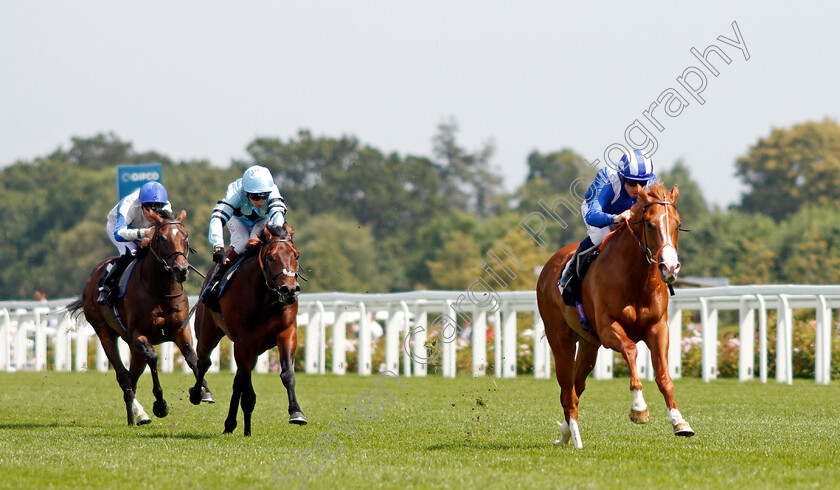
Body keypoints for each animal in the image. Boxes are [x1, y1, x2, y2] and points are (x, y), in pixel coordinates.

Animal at [68, 210, 213, 424]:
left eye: (186, 237)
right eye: (162, 238)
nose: (181, 270)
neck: (161, 290)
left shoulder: (179, 329)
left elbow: (192, 357)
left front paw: (203, 391)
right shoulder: (139, 333)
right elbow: (153, 357)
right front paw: (160, 404)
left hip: (132, 345)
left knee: (132, 375)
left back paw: (136, 415)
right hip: (105, 332)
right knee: (123, 376)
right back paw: (138, 413)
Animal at [189, 222, 306, 436]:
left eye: (296, 255)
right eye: (270, 257)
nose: (290, 290)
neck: (265, 297)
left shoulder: (286, 333)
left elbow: (287, 374)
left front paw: (296, 412)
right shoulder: (242, 344)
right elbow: (248, 392)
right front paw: (248, 431)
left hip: (255, 350)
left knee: (237, 383)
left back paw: (229, 424)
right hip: (208, 334)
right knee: (204, 362)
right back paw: (197, 394)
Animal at [540, 183, 696, 448]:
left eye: (677, 223)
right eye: (650, 224)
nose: (669, 267)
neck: (636, 277)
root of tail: (549, 265)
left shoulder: (658, 328)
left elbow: (664, 376)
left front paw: (679, 421)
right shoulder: (608, 329)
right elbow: (631, 349)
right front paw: (639, 408)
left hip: (589, 344)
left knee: (576, 386)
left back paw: (565, 433)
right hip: (560, 340)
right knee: (567, 391)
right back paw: (575, 437)